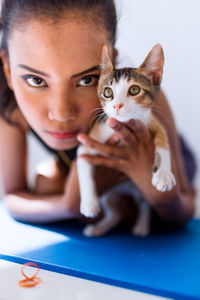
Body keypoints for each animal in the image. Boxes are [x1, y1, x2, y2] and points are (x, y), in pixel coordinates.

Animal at [77, 44, 176, 237]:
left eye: (134, 90)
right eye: (108, 92)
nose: (117, 105)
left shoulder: (151, 121)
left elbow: (164, 141)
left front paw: (164, 175)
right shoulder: (88, 142)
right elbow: (84, 163)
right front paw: (89, 204)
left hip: (141, 189)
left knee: (144, 205)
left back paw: (141, 227)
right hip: (108, 194)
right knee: (115, 214)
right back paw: (98, 228)